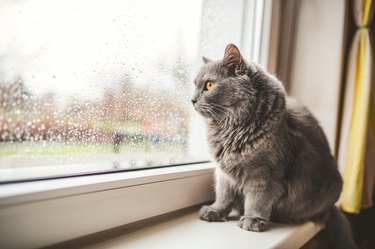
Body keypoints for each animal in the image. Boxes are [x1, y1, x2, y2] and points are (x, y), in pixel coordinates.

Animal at [194, 43, 358, 248]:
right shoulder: (223, 173)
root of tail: (331, 207)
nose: (192, 100)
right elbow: (223, 195)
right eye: (194, 85)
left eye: (209, 85)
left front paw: (253, 220)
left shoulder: (265, 173)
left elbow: (257, 199)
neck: (231, 129)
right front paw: (215, 212)